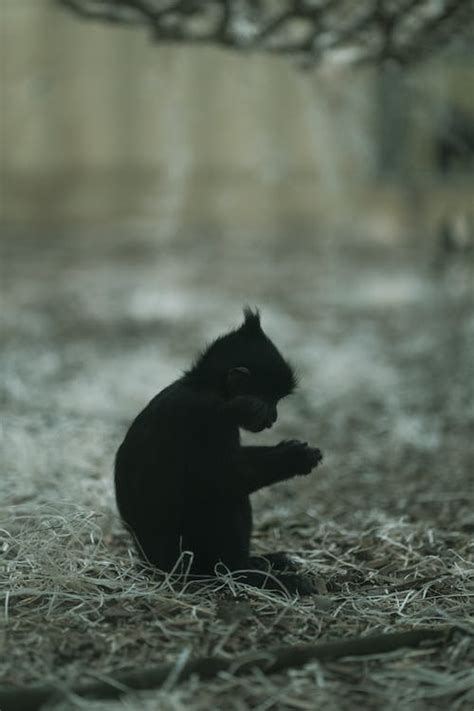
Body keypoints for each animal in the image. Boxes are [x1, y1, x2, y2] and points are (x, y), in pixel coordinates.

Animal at [115, 310, 322, 596]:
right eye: (272, 400)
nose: (274, 417)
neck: (203, 386)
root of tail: (152, 562)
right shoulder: (207, 415)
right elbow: (225, 478)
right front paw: (294, 458)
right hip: (186, 554)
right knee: (223, 498)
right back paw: (243, 574)